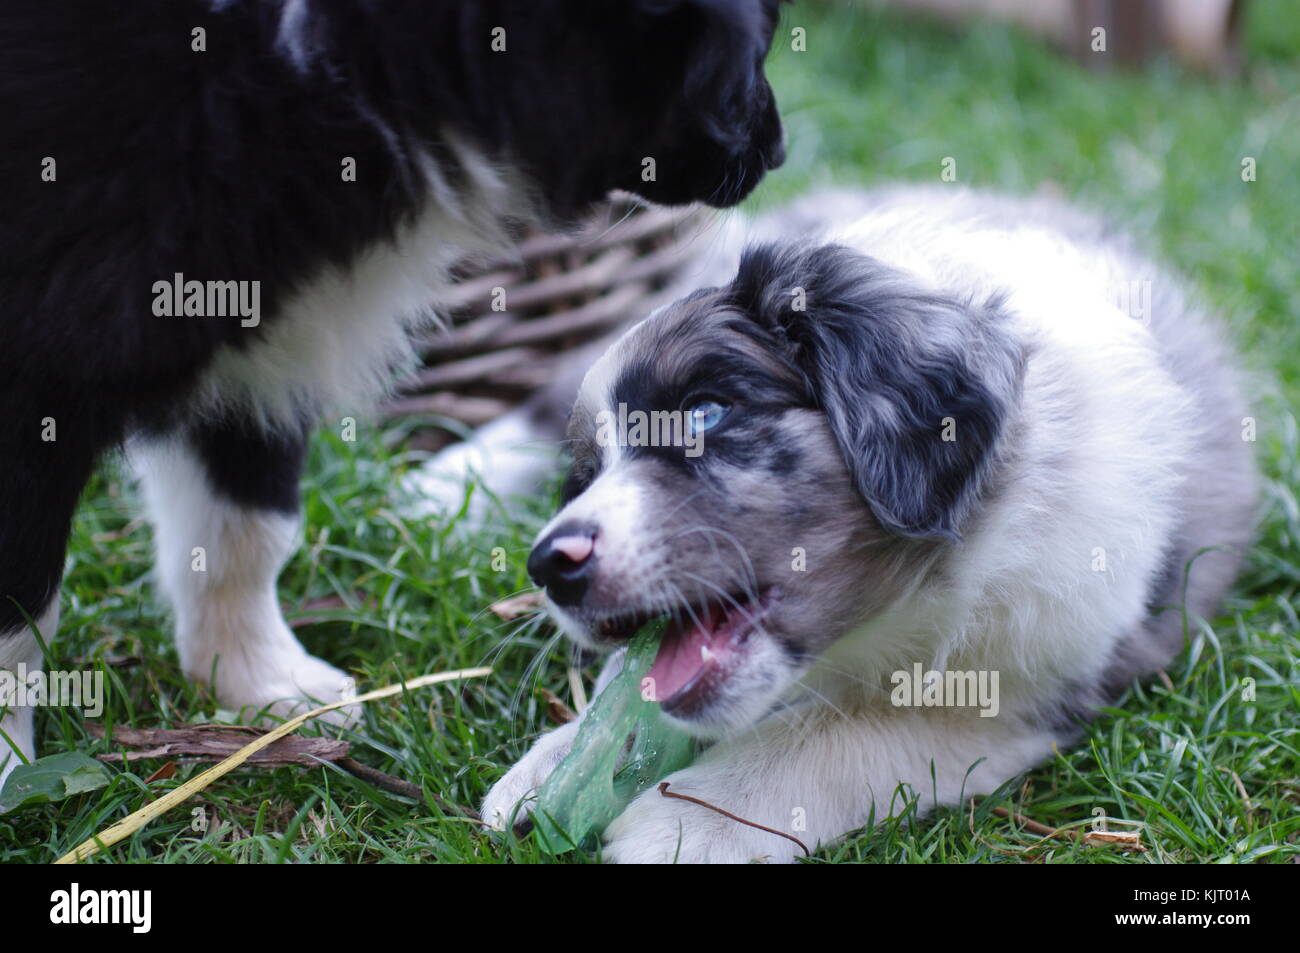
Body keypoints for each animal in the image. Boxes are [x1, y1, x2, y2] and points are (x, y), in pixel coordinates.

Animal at [0, 0, 780, 780]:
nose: (775, 151)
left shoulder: (253, 320)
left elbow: (244, 527)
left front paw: (265, 686)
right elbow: (20, 605)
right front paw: (12, 764)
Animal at [483, 185, 1253, 863]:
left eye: (705, 414)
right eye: (584, 477)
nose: (548, 566)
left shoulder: (1040, 676)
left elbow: (848, 728)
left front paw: (683, 823)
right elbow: (629, 682)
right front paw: (552, 768)